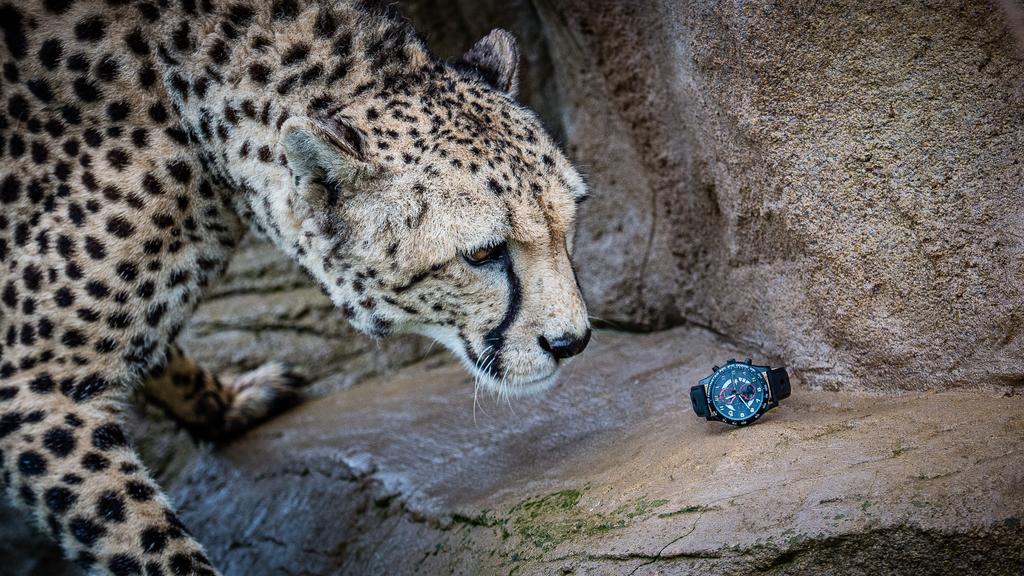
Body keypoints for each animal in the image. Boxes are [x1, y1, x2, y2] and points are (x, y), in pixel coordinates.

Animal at [2, 0, 593, 569]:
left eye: (567, 223)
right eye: (482, 253)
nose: (572, 343)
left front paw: (224, 405)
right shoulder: (34, 384)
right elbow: (147, 540)